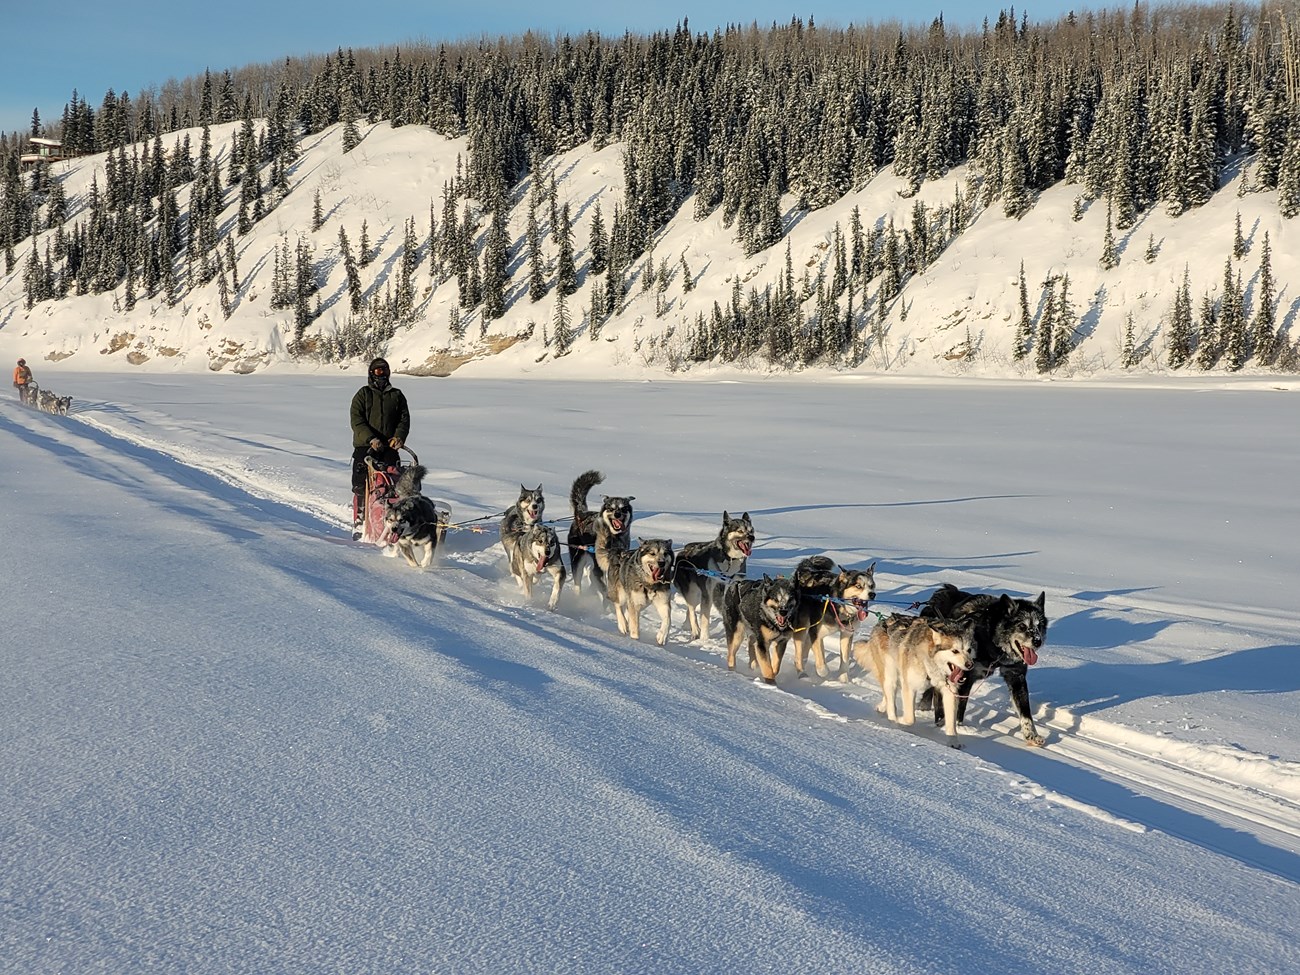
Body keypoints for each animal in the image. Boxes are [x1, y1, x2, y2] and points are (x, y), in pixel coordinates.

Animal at [670, 512, 754, 642]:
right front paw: (705, 639)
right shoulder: (709, 594)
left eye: (751, 530)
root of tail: (683, 552)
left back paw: (687, 625)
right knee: (692, 610)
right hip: (693, 593)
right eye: (740, 531)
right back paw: (695, 630)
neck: (730, 561)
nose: (752, 538)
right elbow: (704, 619)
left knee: (690, 609)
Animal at [920, 587, 1050, 748]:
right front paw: (958, 728)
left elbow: (1026, 712)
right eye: (1022, 626)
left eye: (1039, 626)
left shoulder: (1016, 676)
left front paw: (1031, 735)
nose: (1038, 641)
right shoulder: (964, 678)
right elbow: (960, 706)